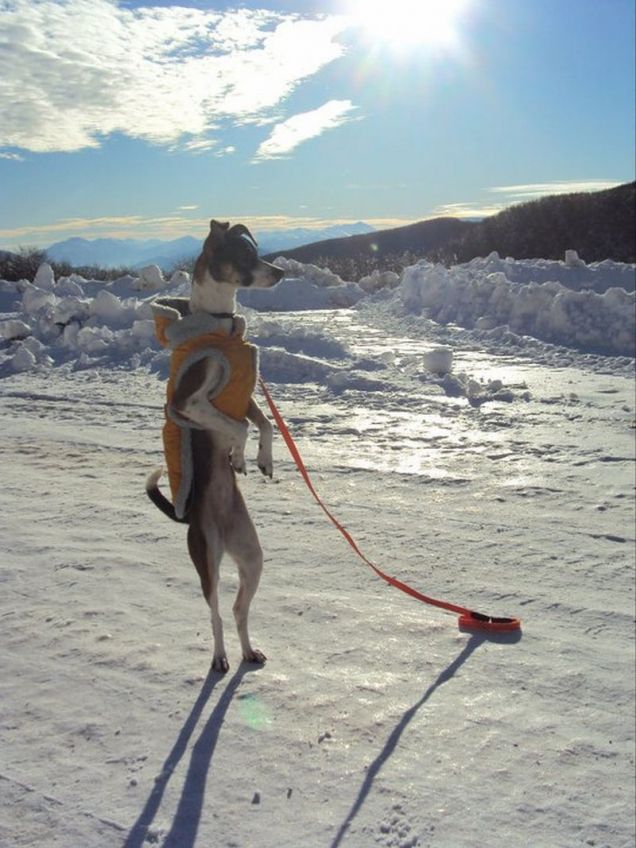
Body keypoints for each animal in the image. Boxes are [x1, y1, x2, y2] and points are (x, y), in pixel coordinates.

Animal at [145, 222, 284, 672]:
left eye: (256, 250)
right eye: (244, 256)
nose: (280, 272)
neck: (220, 325)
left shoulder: (247, 396)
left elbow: (265, 424)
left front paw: (263, 460)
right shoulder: (187, 404)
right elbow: (238, 427)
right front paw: (238, 457)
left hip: (252, 557)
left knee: (239, 610)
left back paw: (248, 651)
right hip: (206, 559)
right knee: (217, 614)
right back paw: (221, 657)